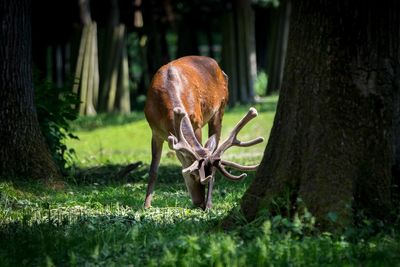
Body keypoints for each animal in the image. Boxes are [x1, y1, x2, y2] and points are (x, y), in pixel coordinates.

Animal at [143, 56, 262, 211]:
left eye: (203, 176)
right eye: (193, 174)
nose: (200, 203)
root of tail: (216, 64)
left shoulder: (197, 122)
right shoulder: (155, 131)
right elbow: (153, 171)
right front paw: (146, 205)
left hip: (220, 108)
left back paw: (210, 204)